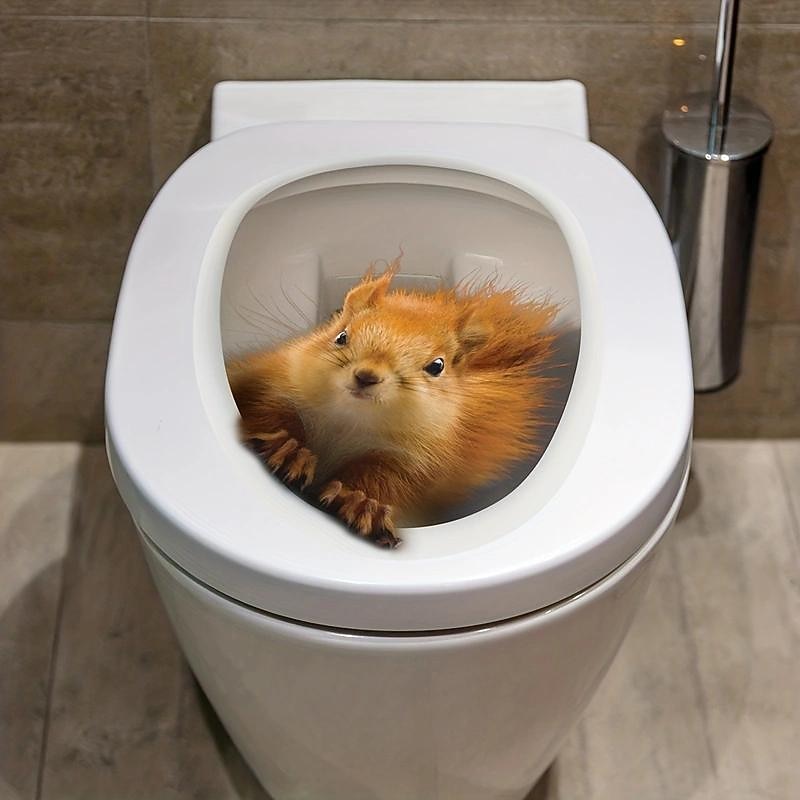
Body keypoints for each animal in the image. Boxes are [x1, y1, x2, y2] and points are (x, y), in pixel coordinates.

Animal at [227, 261, 558, 548]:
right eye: (341, 336)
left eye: (437, 366)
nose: (366, 376)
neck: (349, 421)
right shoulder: (274, 381)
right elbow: (268, 411)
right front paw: (290, 451)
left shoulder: (416, 460)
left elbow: (388, 478)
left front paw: (361, 503)